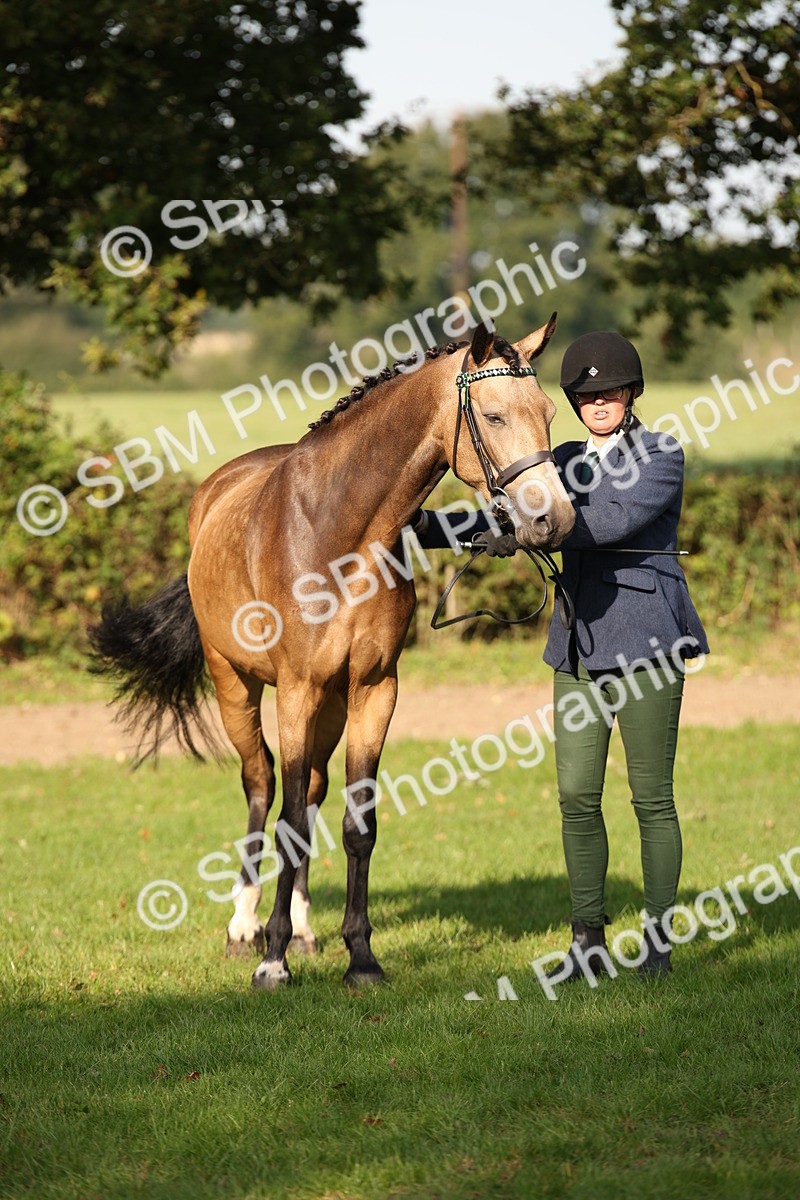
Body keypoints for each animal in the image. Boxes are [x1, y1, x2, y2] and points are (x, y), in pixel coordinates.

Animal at [91, 317, 576, 989]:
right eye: (495, 415)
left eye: (550, 412)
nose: (554, 519)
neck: (343, 534)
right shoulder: (296, 690)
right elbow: (288, 820)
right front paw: (271, 961)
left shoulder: (373, 690)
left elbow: (356, 823)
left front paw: (360, 957)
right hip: (236, 685)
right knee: (262, 785)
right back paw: (245, 929)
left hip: (331, 707)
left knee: (315, 788)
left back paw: (301, 928)